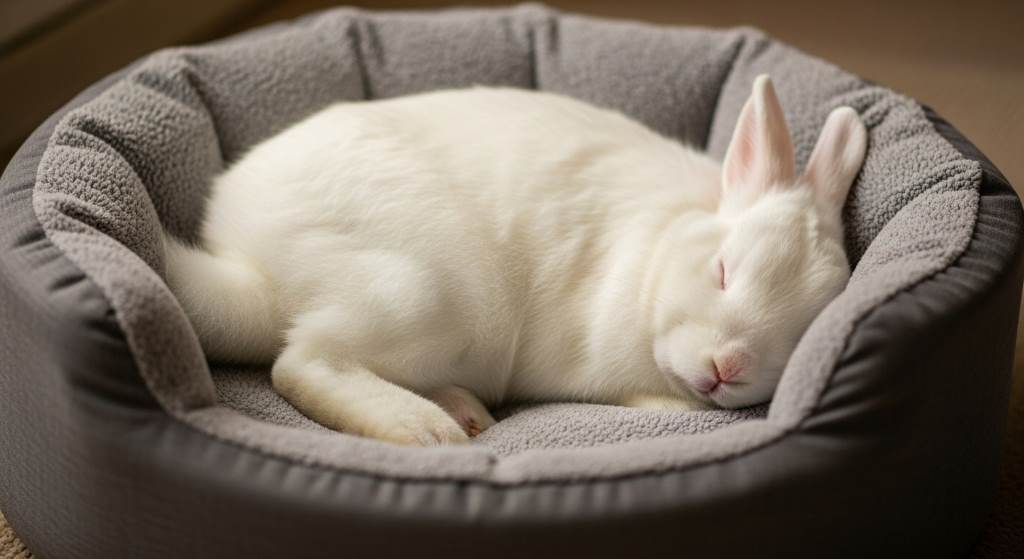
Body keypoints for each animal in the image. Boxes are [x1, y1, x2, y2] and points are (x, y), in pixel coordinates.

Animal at [163, 75, 867, 446]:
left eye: (799, 335)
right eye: (723, 271)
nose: (727, 368)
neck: (659, 252)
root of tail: (252, 268)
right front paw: (675, 409)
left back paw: (461, 412)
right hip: (422, 297)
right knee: (302, 363)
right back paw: (428, 431)